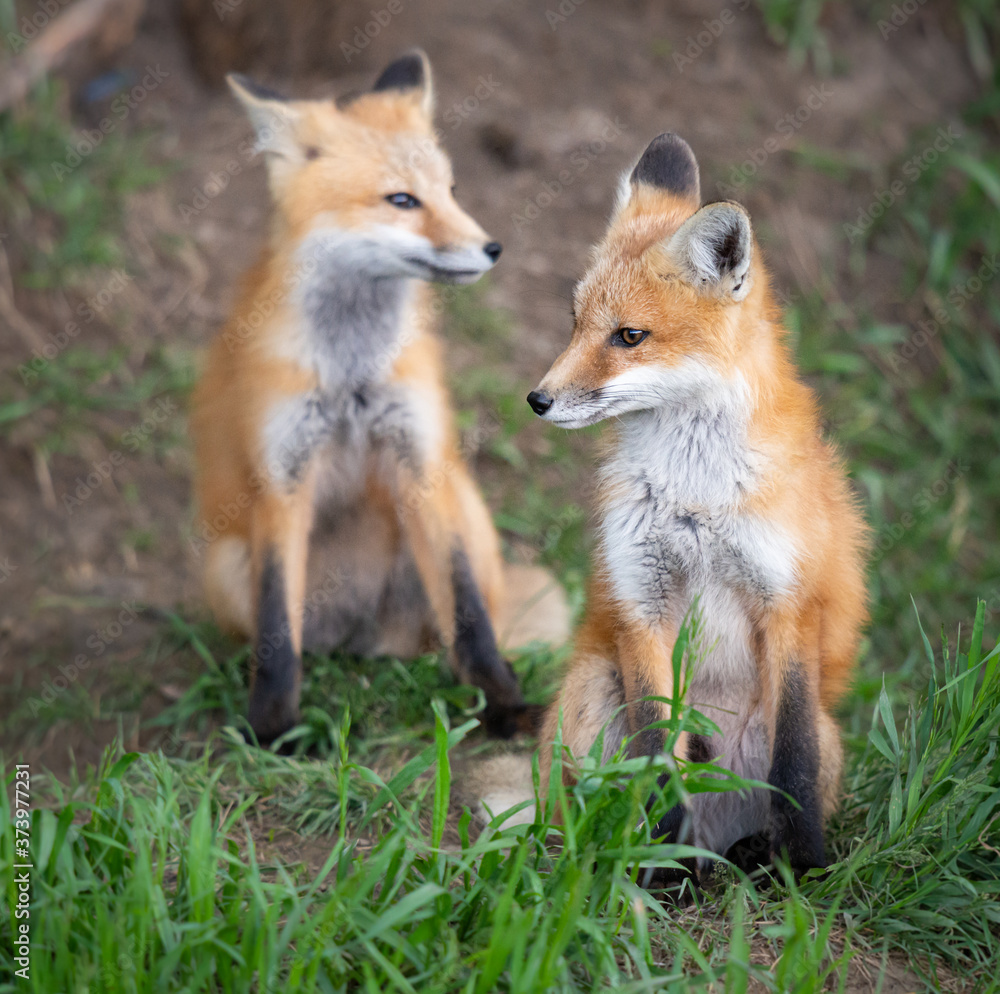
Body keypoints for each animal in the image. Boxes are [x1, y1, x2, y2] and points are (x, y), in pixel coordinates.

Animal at [190, 50, 567, 744]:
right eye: (401, 200)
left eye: (452, 191)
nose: (493, 248)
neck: (352, 375)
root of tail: (366, 644)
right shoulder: (283, 476)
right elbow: (277, 631)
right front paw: (273, 732)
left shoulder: (418, 458)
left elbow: (468, 616)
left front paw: (502, 706)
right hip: (226, 565)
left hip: (464, 509)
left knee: (456, 626)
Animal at [528, 133, 868, 875]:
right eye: (574, 323)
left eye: (629, 336)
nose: (537, 400)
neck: (697, 498)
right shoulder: (642, 601)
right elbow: (659, 755)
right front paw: (659, 868)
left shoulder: (787, 602)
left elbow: (794, 765)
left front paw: (805, 867)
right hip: (590, 691)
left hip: (825, 734)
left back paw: (751, 859)